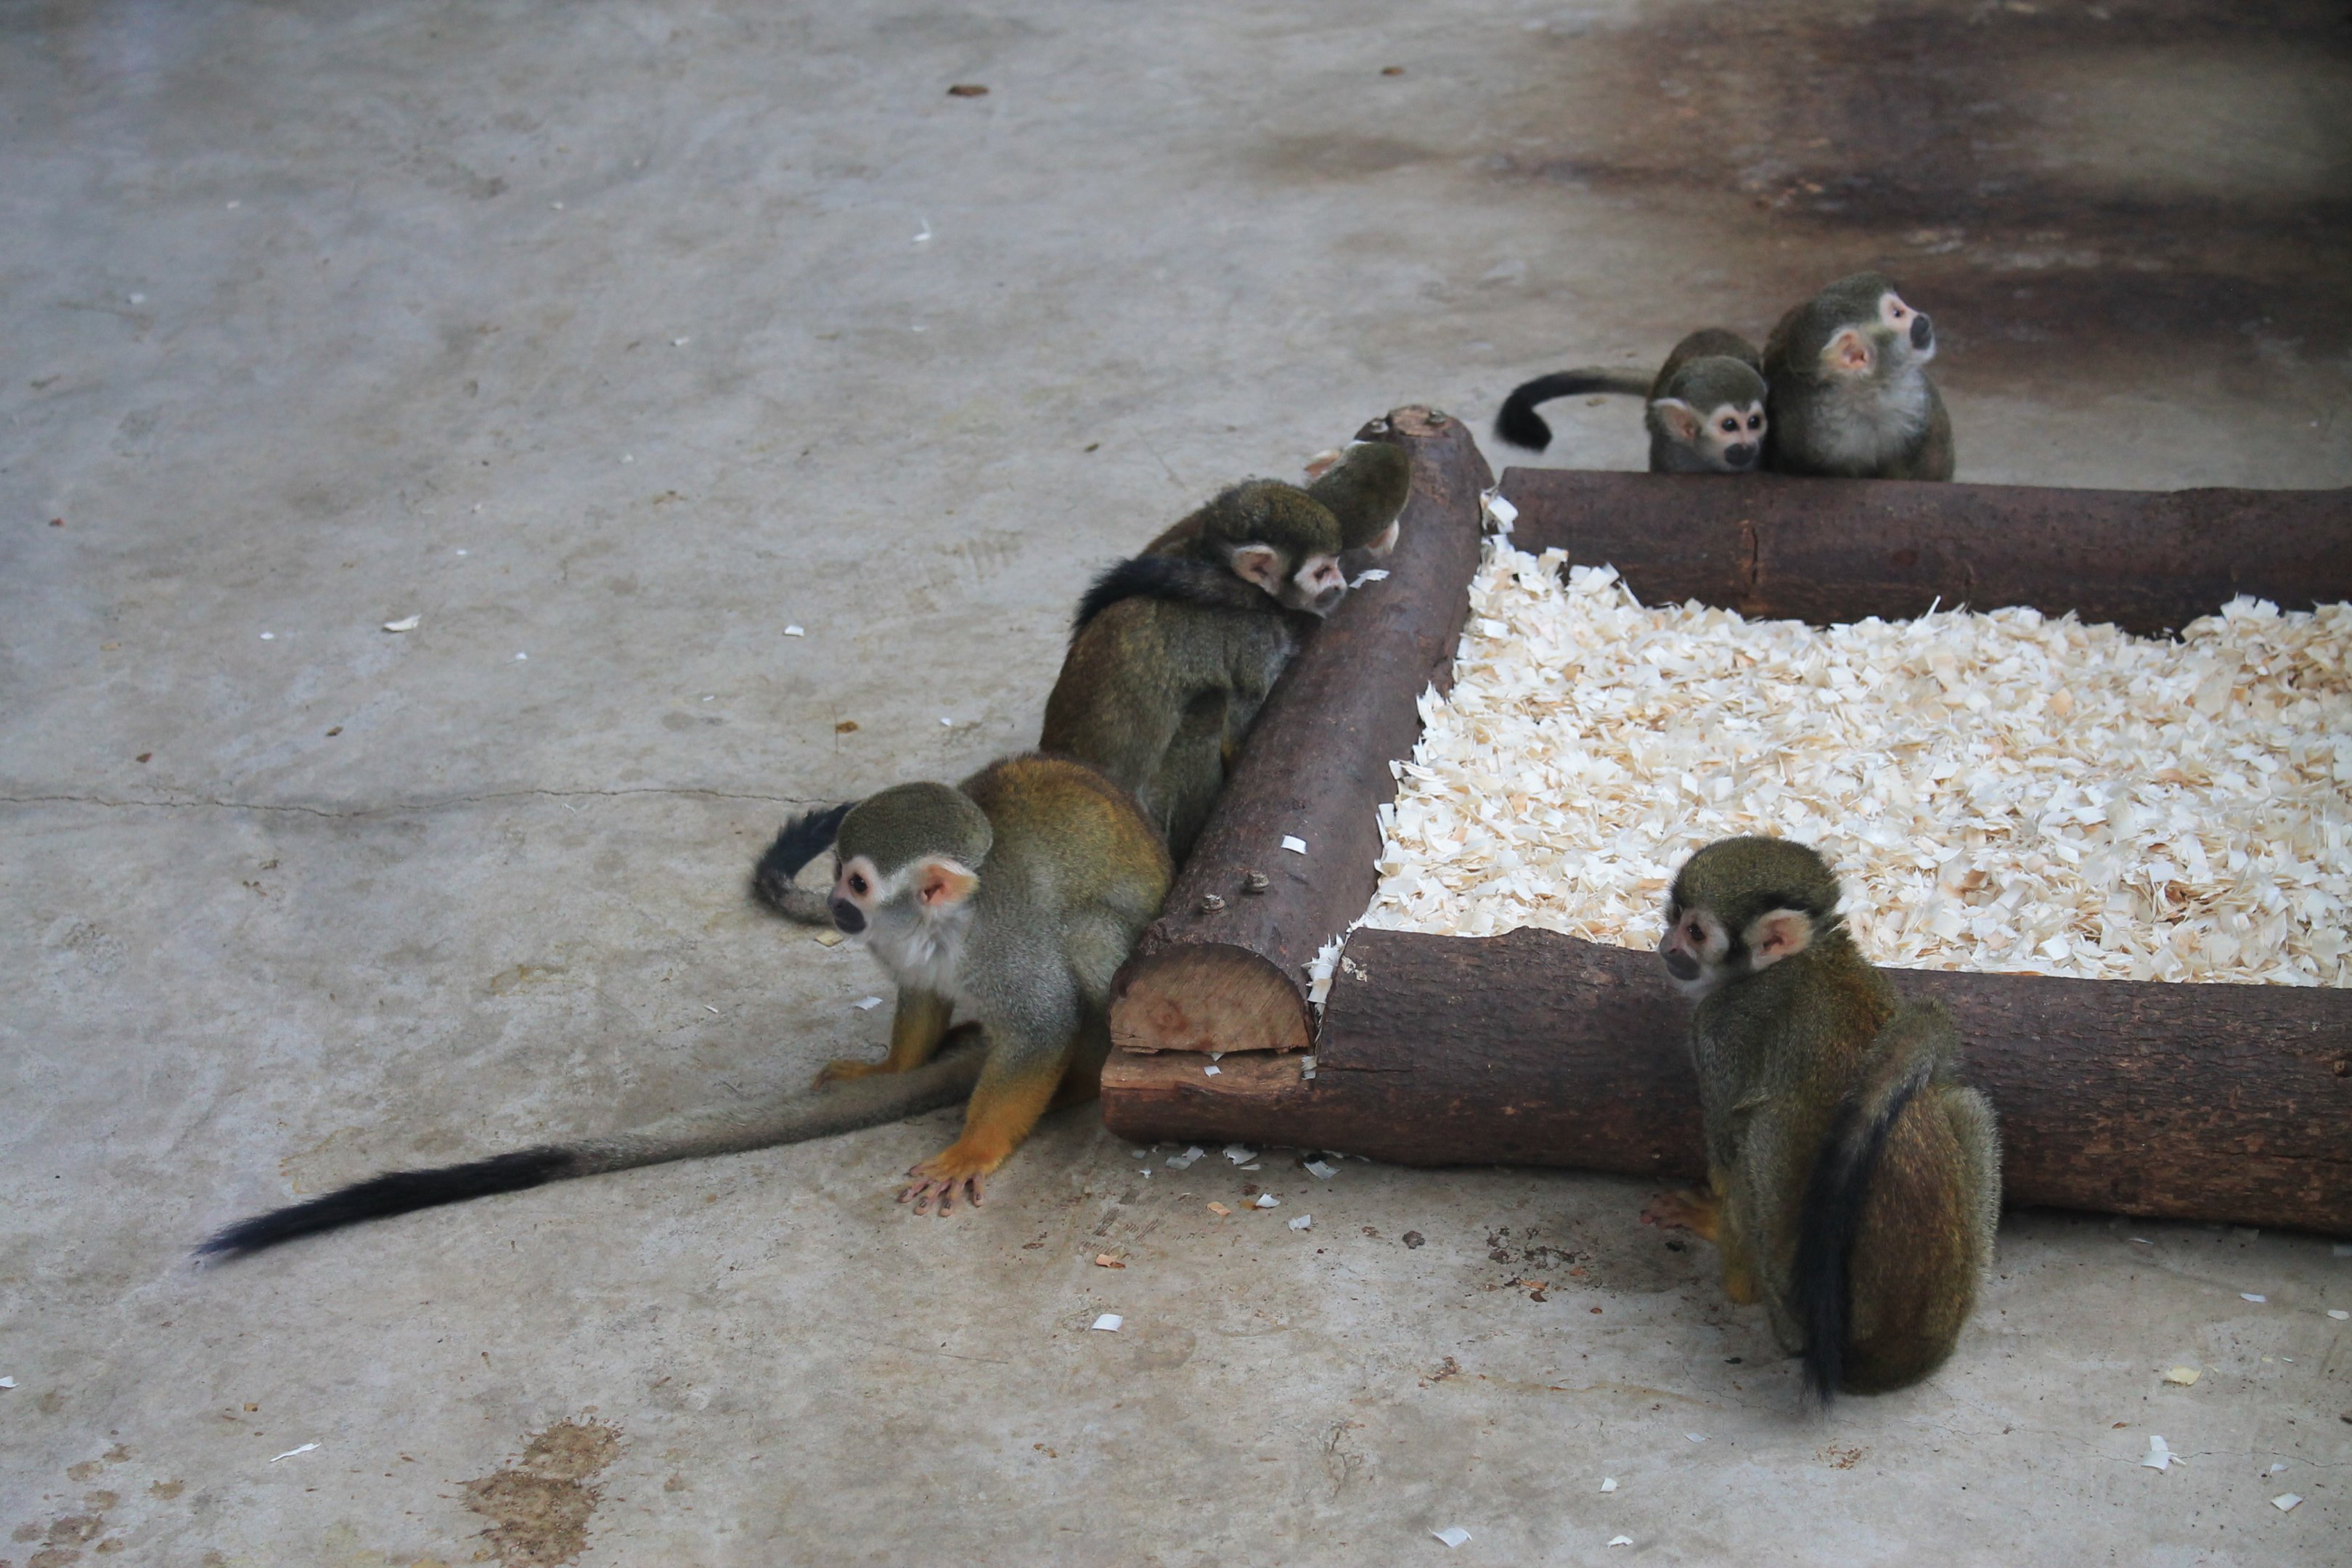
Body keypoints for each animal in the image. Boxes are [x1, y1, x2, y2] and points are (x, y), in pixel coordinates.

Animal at [197, 753, 1172, 1257]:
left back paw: (1080, 1076)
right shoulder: (907, 945)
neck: (945, 920)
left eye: (858, 881)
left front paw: (973, 1146)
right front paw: (887, 1066)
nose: (840, 908)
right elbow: (919, 989)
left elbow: (1038, 1022)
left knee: (1090, 938)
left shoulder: (1006, 940)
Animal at [1039, 453, 1409, 864]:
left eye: (1335, 565)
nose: (1340, 586)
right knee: (1210, 709)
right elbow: (1236, 730)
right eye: (1322, 572)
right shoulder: (1256, 640)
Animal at [1644, 836, 2001, 1401]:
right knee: (1960, 1100)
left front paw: (1710, 1214)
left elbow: (1725, 1151)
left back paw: (1739, 1277)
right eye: (1675, 916)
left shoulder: (1718, 1029)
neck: (1813, 955)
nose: (1666, 946)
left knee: (1757, 1134)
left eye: (1695, 932)